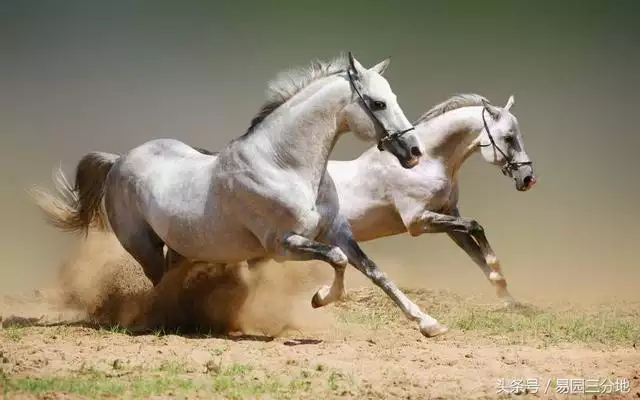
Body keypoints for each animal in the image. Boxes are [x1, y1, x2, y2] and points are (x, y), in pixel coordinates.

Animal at [36, 53, 456, 338]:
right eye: (378, 103)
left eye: (392, 97)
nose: (414, 152)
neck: (284, 165)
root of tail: (119, 160)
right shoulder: (282, 245)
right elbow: (337, 261)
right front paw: (320, 298)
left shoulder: (337, 231)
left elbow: (374, 271)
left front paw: (429, 323)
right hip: (143, 247)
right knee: (159, 286)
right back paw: (167, 321)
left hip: (182, 248)